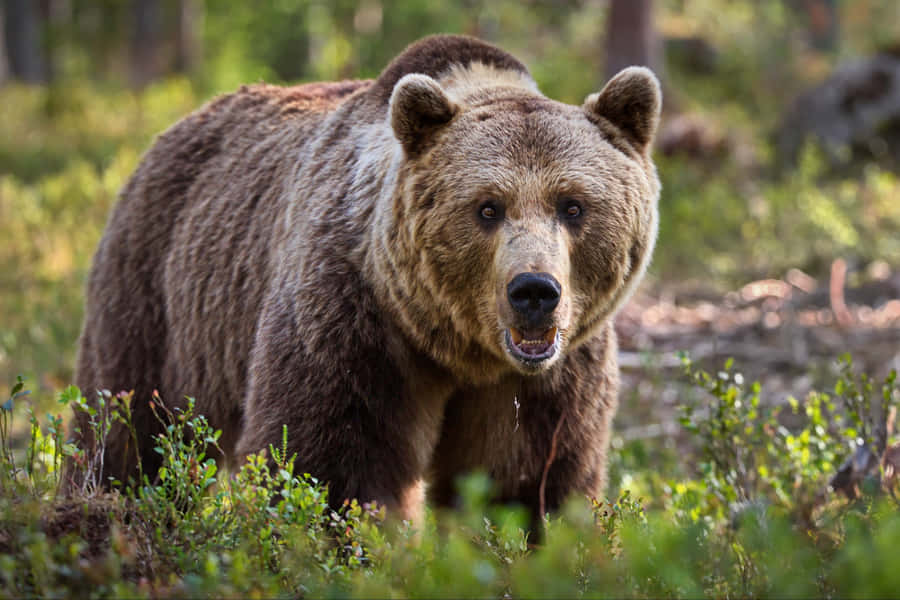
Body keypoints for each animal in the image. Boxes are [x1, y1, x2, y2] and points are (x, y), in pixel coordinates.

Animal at [67, 34, 661, 524]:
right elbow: (331, 465)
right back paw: (103, 503)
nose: (534, 291)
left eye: (573, 205)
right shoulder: (354, 321)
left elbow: (525, 479)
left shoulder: (548, 377)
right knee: (127, 421)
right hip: (158, 292)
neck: (461, 348)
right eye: (488, 207)